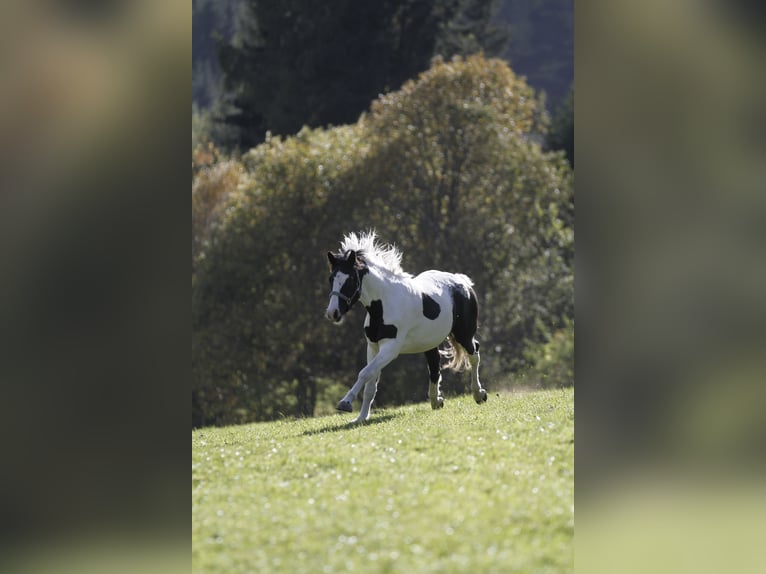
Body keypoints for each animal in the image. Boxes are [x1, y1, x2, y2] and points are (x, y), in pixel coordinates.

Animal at [324, 232, 486, 426]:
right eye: (331, 279)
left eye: (349, 280)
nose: (332, 313)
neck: (384, 303)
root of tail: (462, 281)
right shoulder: (373, 347)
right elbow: (371, 382)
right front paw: (361, 418)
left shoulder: (390, 349)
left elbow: (365, 373)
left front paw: (345, 403)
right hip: (430, 341)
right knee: (434, 365)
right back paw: (436, 401)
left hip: (464, 334)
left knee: (474, 353)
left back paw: (479, 394)